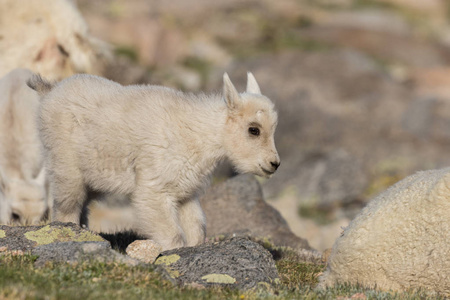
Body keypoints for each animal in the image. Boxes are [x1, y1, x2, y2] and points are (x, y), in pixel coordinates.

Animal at [28, 71, 280, 250]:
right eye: (254, 129)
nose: (274, 164)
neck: (198, 135)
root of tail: (50, 90)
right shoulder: (155, 185)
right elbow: (171, 232)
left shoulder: (186, 189)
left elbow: (197, 226)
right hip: (65, 164)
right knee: (66, 206)